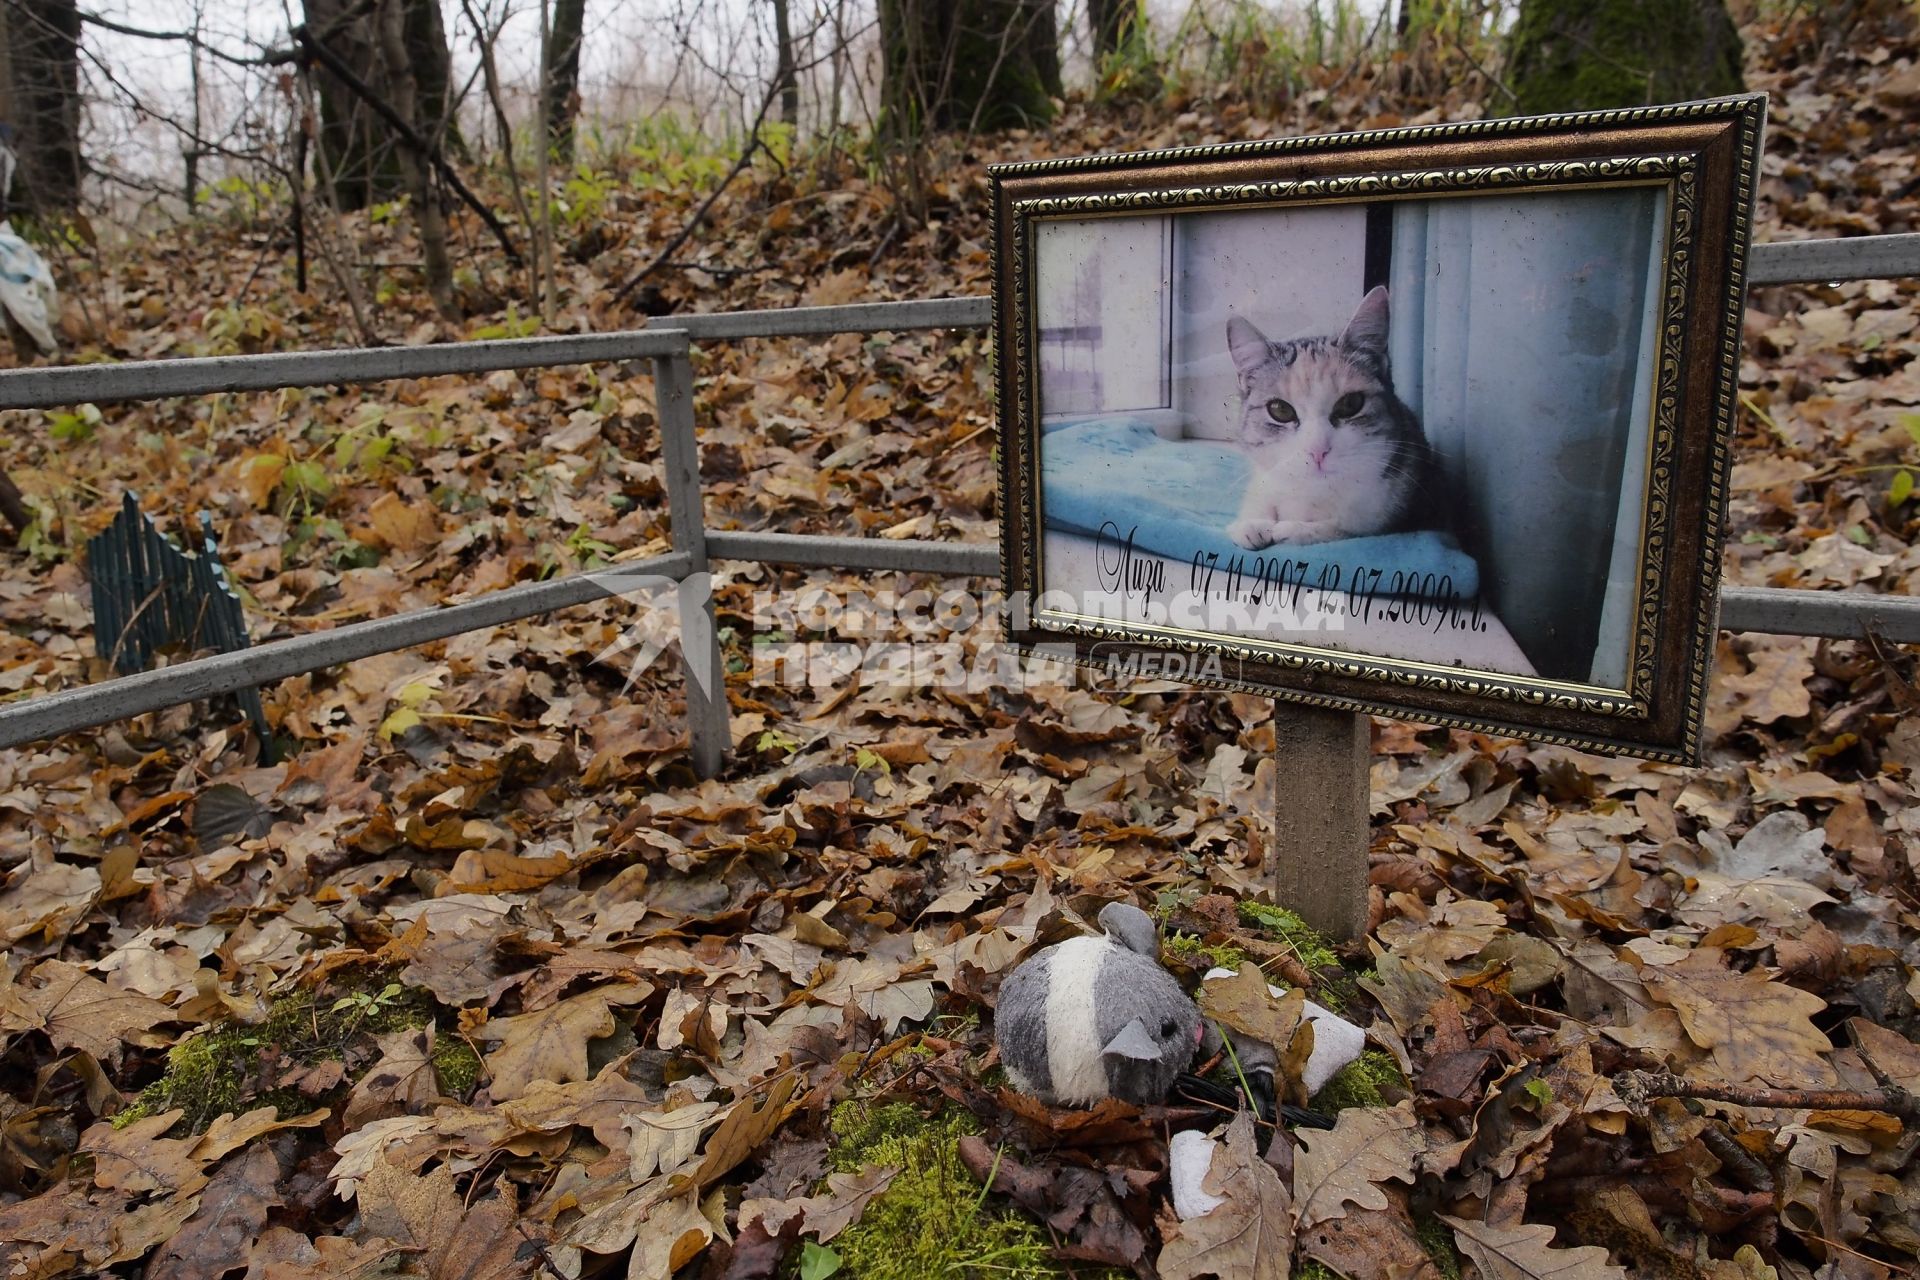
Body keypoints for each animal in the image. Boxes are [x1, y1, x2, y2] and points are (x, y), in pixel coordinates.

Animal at [1221, 285, 1436, 552]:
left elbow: (1345, 528)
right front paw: (1251, 523)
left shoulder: (1386, 512)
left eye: (1351, 404)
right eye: (1280, 410)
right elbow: (1261, 496)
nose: (1318, 450)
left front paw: (1295, 529)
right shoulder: (1264, 477)